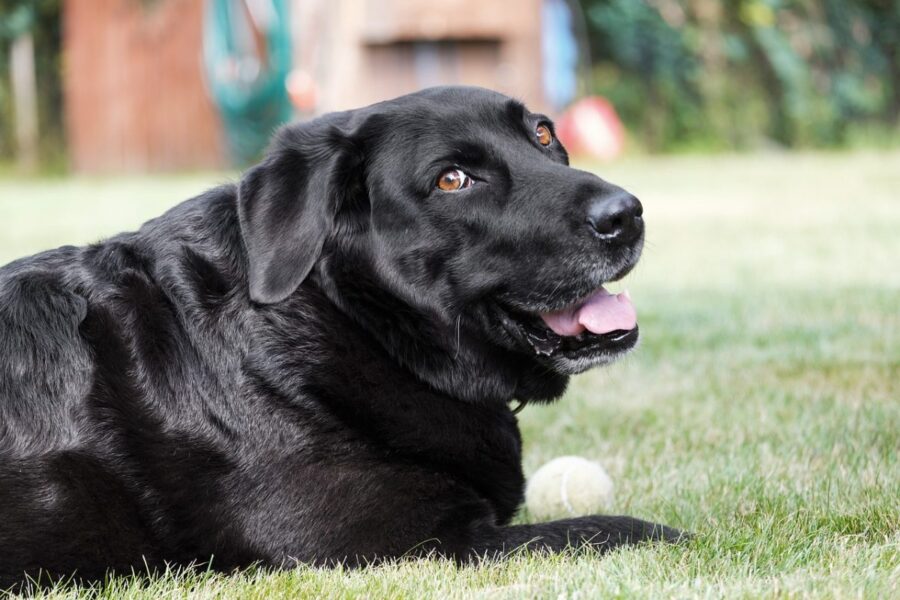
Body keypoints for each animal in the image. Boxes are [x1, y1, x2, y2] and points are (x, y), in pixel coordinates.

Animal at [0, 85, 680, 584]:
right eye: (453, 179)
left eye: (543, 134)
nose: (626, 214)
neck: (346, 317)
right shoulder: (417, 541)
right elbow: (617, 528)